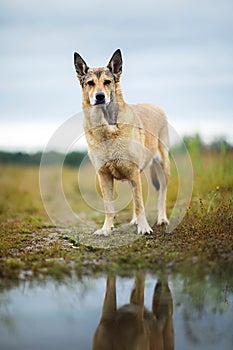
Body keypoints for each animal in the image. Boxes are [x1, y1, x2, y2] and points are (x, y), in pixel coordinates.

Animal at [73, 49, 170, 235]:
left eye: (107, 82)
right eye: (90, 83)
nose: (100, 96)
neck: (107, 130)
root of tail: (155, 106)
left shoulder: (132, 171)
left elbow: (139, 204)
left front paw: (144, 228)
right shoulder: (104, 175)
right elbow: (109, 206)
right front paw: (106, 229)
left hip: (162, 168)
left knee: (161, 194)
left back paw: (162, 219)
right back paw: (134, 221)